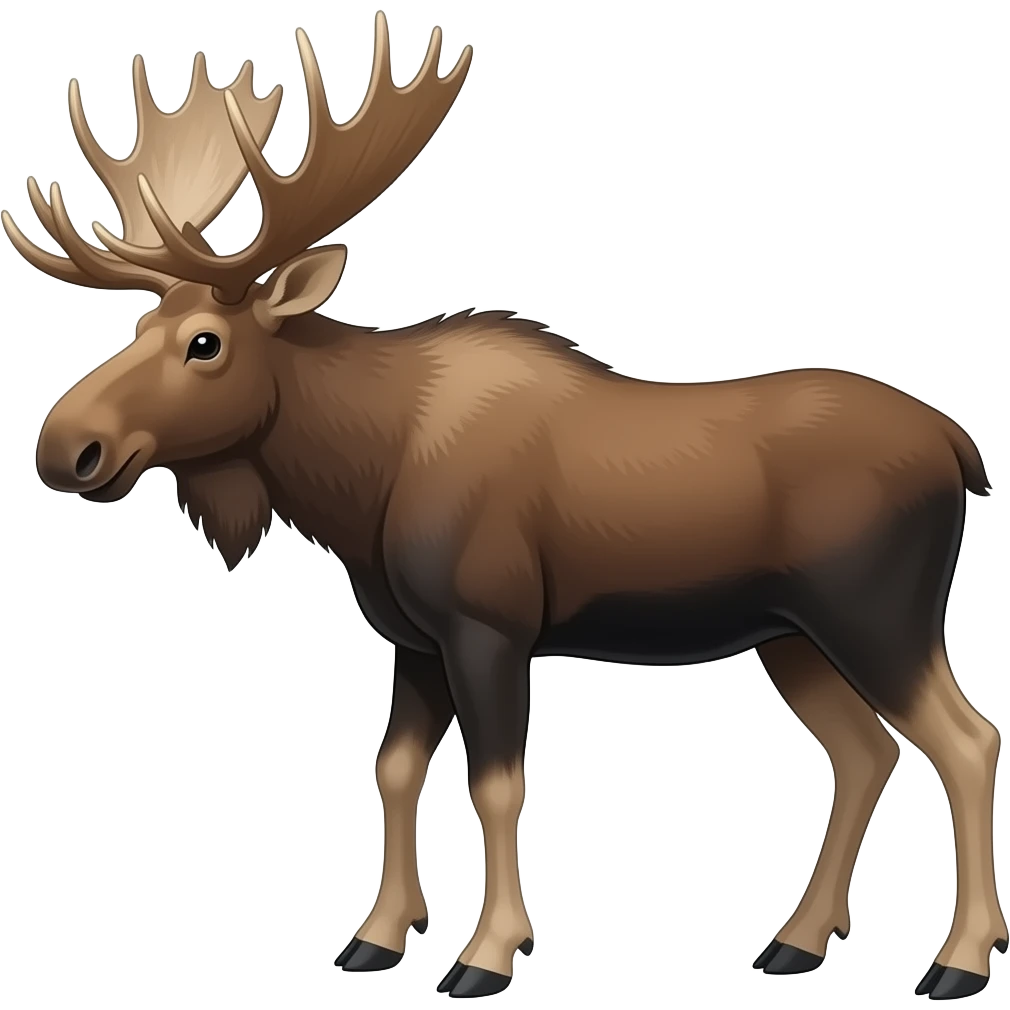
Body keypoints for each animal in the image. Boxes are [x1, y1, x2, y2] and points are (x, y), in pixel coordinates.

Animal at [11, 15, 1006, 1002]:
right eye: (139, 328)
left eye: (205, 343)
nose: (66, 446)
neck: (359, 484)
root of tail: (963, 452)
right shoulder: (413, 638)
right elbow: (394, 769)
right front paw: (376, 938)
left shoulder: (488, 625)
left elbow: (496, 785)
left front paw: (486, 954)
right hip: (788, 635)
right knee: (865, 752)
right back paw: (796, 941)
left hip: (876, 614)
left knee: (966, 740)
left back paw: (956, 960)